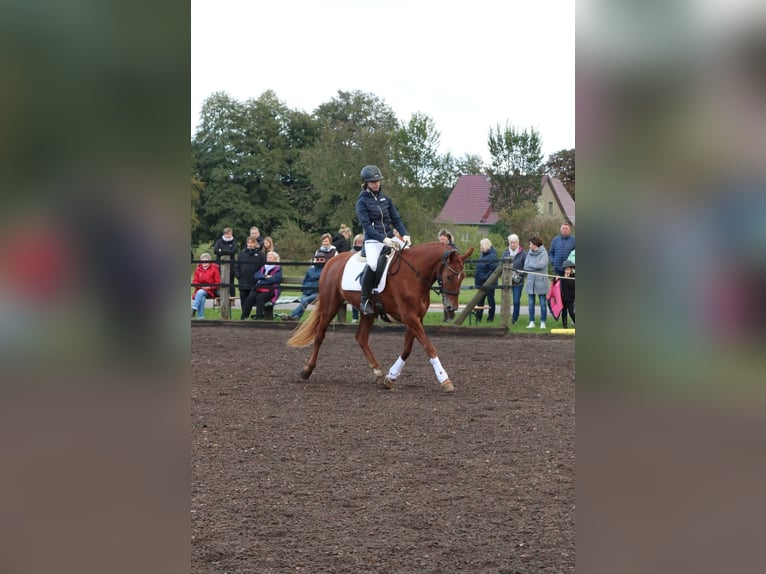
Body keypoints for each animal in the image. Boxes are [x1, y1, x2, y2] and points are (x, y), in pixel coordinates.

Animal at [286, 241, 474, 394]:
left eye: (463, 277)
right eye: (449, 276)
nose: (451, 307)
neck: (414, 275)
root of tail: (332, 261)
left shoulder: (416, 318)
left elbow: (407, 349)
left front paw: (390, 378)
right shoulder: (410, 317)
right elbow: (429, 347)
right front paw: (445, 379)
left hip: (368, 313)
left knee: (361, 338)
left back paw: (377, 370)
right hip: (329, 305)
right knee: (319, 336)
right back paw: (307, 370)